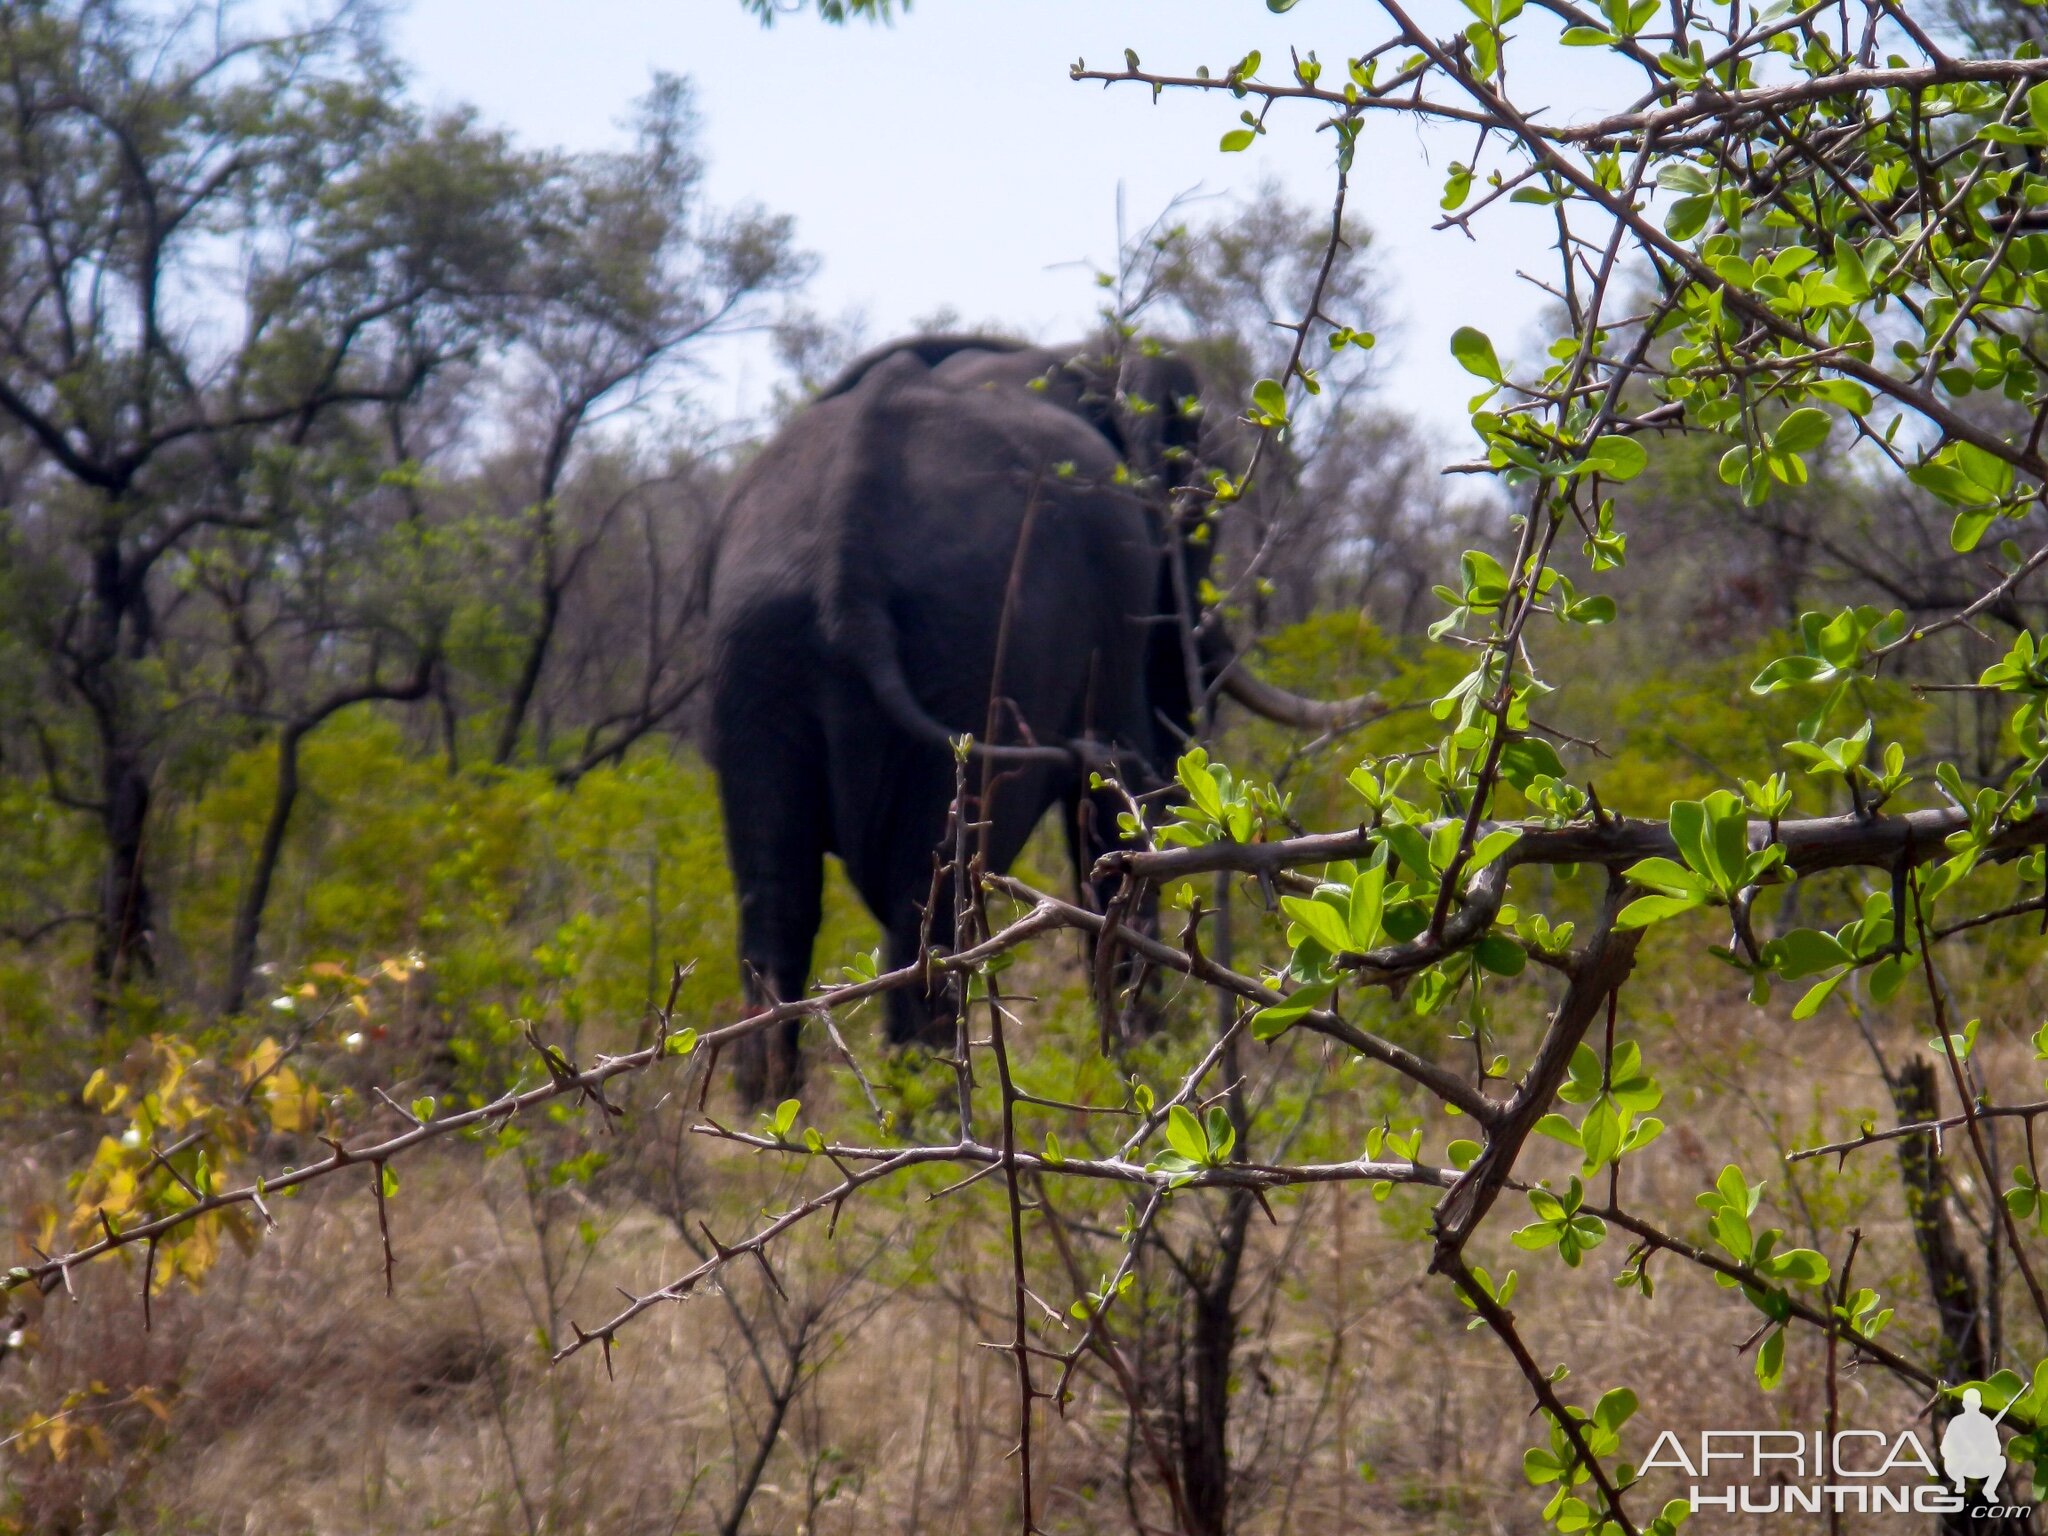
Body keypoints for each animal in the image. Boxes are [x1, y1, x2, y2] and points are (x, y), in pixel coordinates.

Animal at [708, 335, 1376, 1105]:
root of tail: (847, 574)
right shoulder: (1117, 619)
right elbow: (1122, 806)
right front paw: (1143, 1063)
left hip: (760, 653)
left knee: (779, 908)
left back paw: (777, 1114)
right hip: (972, 647)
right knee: (930, 908)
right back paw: (934, 1116)